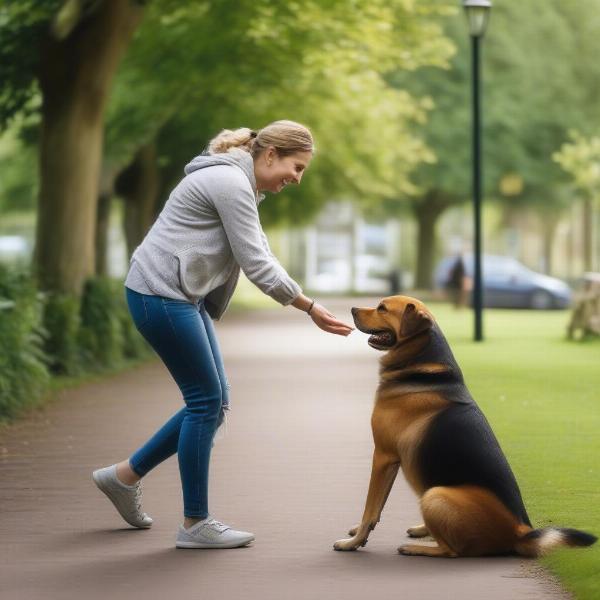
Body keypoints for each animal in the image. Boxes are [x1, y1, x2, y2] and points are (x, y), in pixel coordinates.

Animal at [332, 296, 596, 556]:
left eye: (382, 308)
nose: (352, 309)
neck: (420, 367)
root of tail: (520, 532)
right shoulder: (390, 460)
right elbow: (377, 508)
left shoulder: (383, 456)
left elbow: (370, 508)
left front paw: (353, 542)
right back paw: (423, 530)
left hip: (434, 494)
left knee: (452, 550)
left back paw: (417, 547)